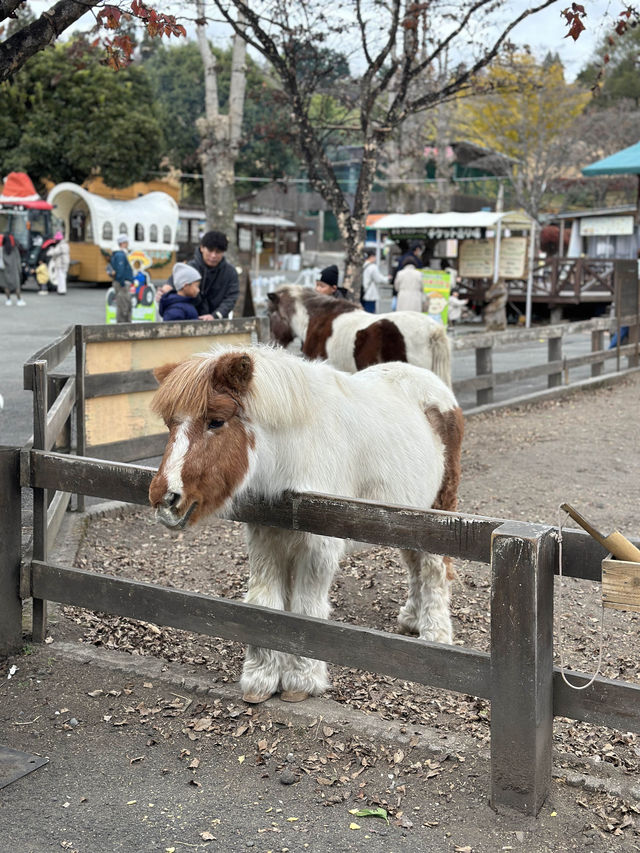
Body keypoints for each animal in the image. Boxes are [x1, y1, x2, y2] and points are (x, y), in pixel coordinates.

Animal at [148, 342, 462, 704]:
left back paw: (434, 633)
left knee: (433, 568)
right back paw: (412, 618)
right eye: (170, 425)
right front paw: (260, 679)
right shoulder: (266, 537)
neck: (292, 453)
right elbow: (265, 603)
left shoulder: (318, 545)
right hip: (407, 516)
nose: (165, 499)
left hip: (437, 510)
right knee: (414, 563)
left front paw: (300, 680)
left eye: (216, 421)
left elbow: (305, 610)